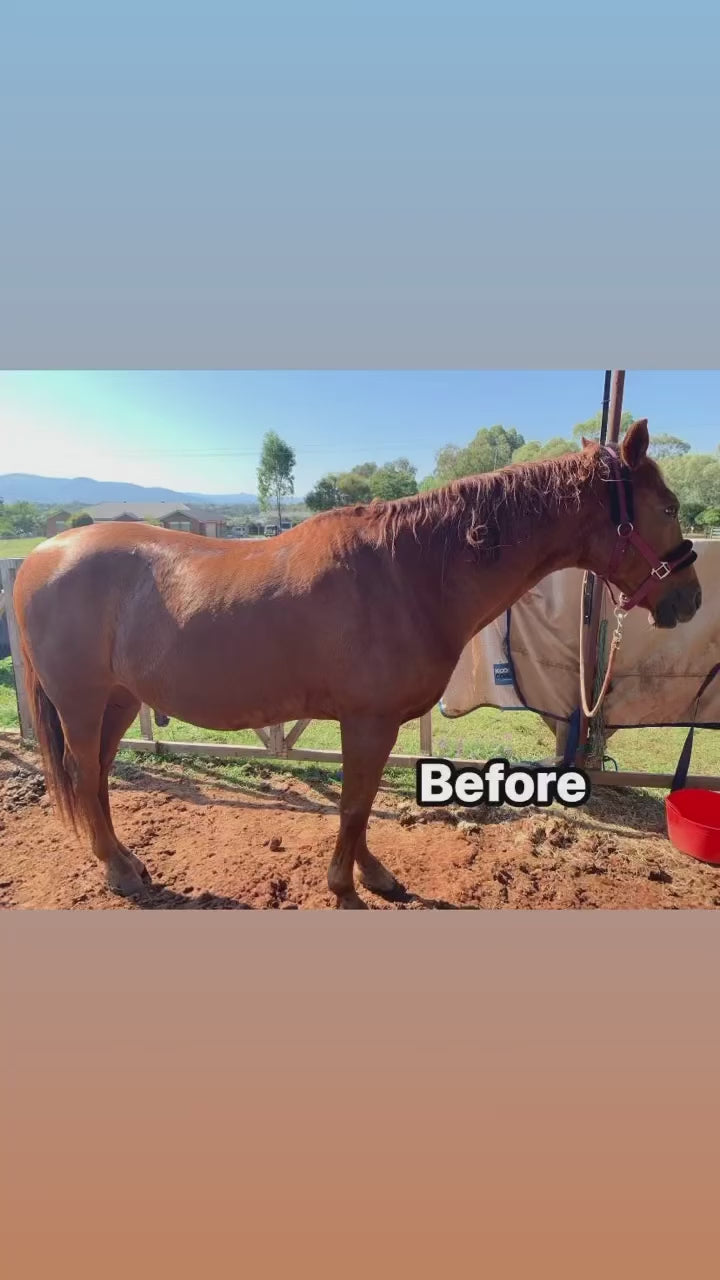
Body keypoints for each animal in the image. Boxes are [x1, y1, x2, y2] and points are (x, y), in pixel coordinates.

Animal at [14, 424, 702, 906]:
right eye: (668, 507)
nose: (690, 599)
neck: (406, 572)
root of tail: (39, 559)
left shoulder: (380, 724)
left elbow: (365, 803)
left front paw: (373, 875)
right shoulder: (366, 722)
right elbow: (352, 804)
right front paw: (344, 885)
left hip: (119, 701)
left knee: (98, 778)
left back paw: (126, 862)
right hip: (82, 703)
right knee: (84, 776)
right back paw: (119, 871)